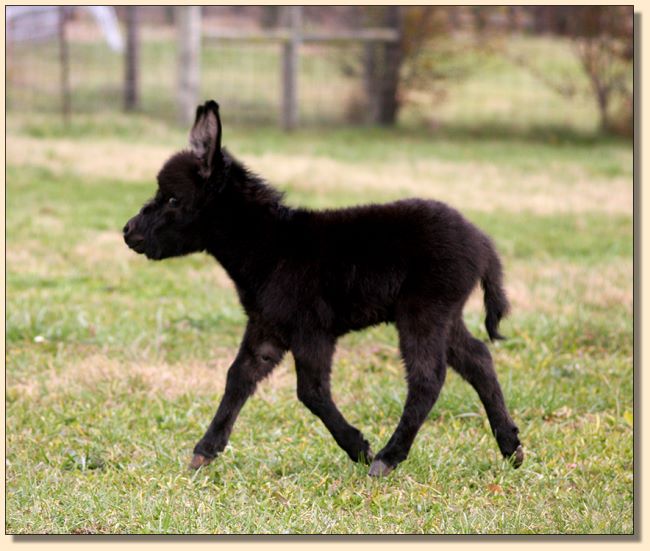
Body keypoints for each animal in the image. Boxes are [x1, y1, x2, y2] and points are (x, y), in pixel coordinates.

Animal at [125, 101, 520, 476]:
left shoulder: (311, 330)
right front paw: (204, 452)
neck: (268, 246)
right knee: (477, 358)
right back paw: (511, 447)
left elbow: (311, 391)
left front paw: (358, 448)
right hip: (444, 314)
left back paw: (388, 458)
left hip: (423, 311)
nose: (129, 232)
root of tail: (482, 243)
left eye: (173, 199)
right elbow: (238, 377)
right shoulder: (267, 327)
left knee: (427, 378)